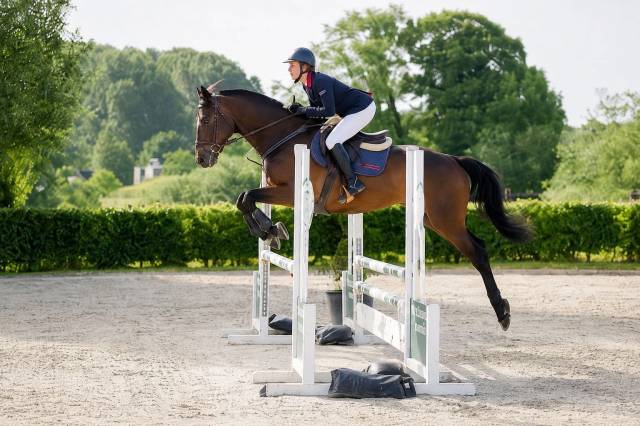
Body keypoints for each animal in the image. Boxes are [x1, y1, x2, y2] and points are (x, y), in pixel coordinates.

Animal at [194, 83, 531, 331]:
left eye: (206, 120)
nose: (202, 159)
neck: (283, 137)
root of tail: (454, 161)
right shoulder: (278, 191)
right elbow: (244, 199)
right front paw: (270, 230)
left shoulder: (291, 192)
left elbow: (246, 197)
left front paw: (270, 230)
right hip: (430, 219)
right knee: (476, 247)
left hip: (446, 220)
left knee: (479, 251)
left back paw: (502, 312)